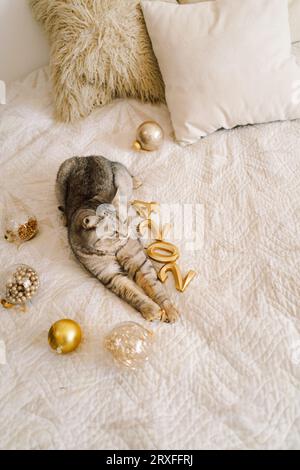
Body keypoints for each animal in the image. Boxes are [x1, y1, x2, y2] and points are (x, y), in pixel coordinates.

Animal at [55, 155, 178, 324]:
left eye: (125, 222)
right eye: (114, 232)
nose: (127, 234)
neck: (110, 250)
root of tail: (86, 156)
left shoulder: (139, 261)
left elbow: (155, 286)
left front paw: (169, 309)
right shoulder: (110, 275)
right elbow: (131, 293)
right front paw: (150, 309)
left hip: (119, 173)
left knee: (127, 174)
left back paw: (136, 180)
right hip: (61, 179)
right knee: (62, 204)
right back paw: (64, 217)